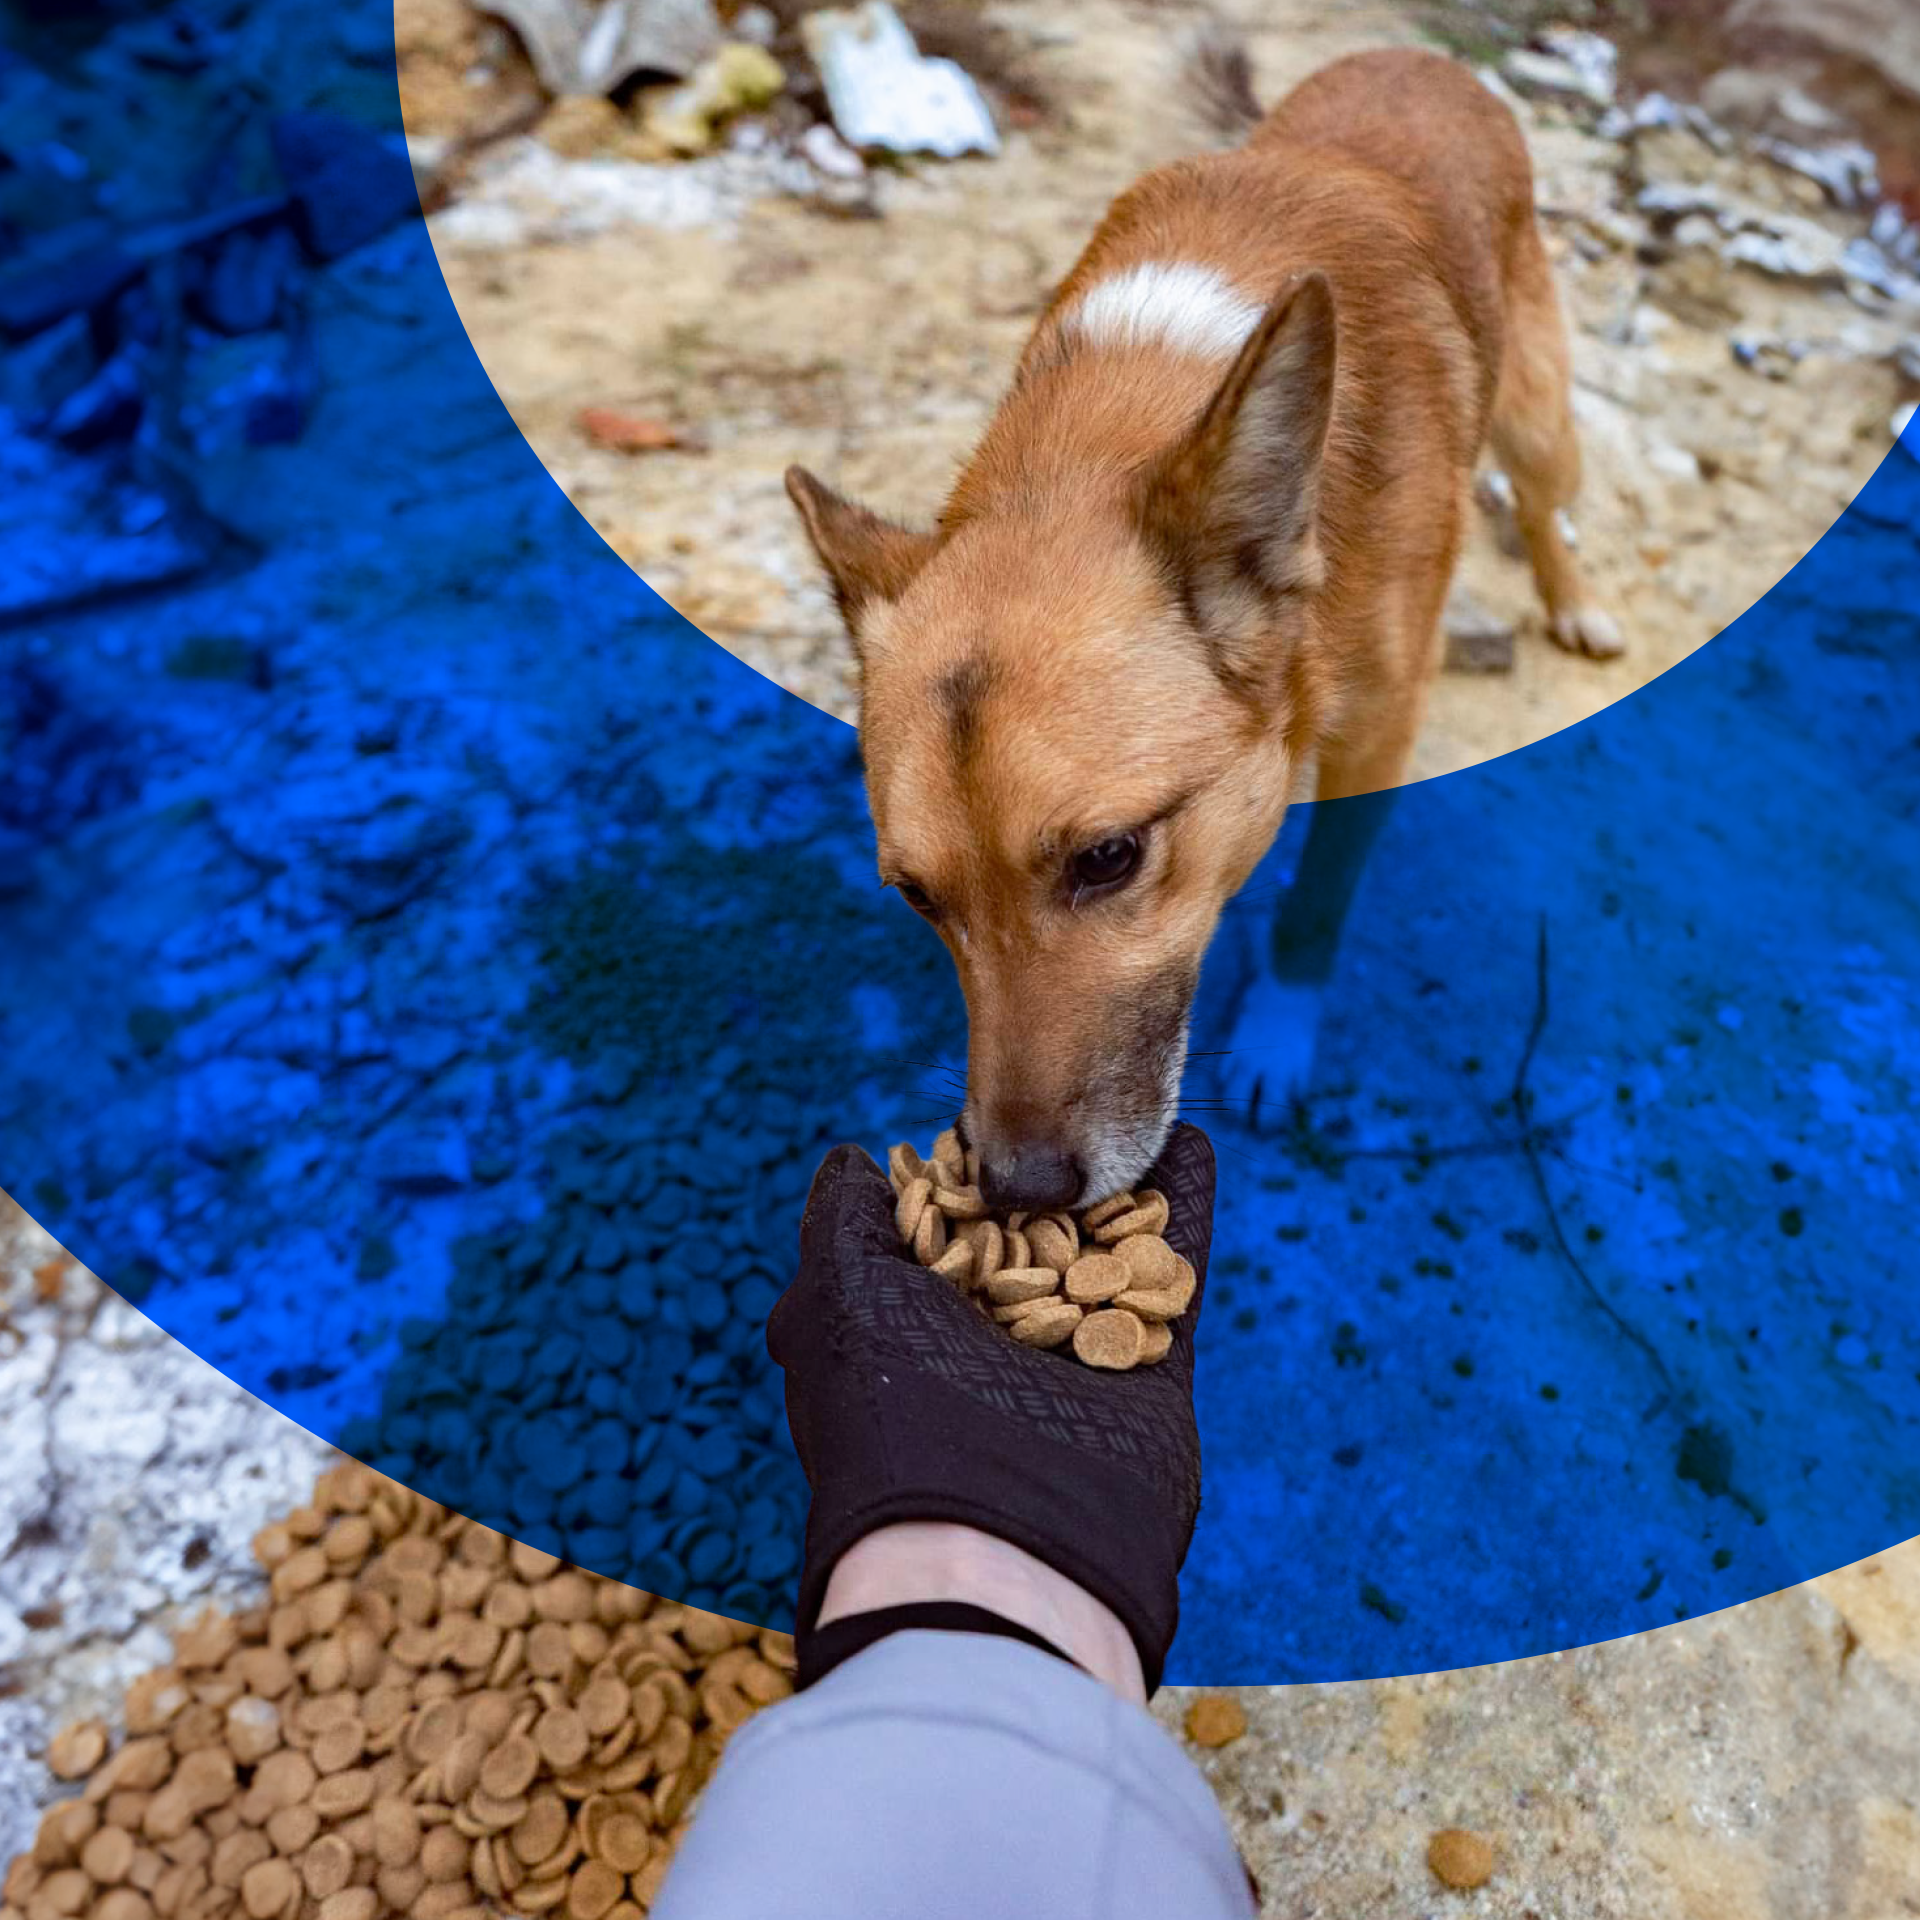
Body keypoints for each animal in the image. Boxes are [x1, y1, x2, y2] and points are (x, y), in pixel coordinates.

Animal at [786, 36, 1621, 1211]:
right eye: (914, 897)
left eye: (1109, 858)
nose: (1020, 1189)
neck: (1116, 427)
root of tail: (1414, 54)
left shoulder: (1380, 732)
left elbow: (1317, 903)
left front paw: (1277, 1038)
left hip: (1541, 417)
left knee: (1547, 500)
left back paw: (1575, 600)